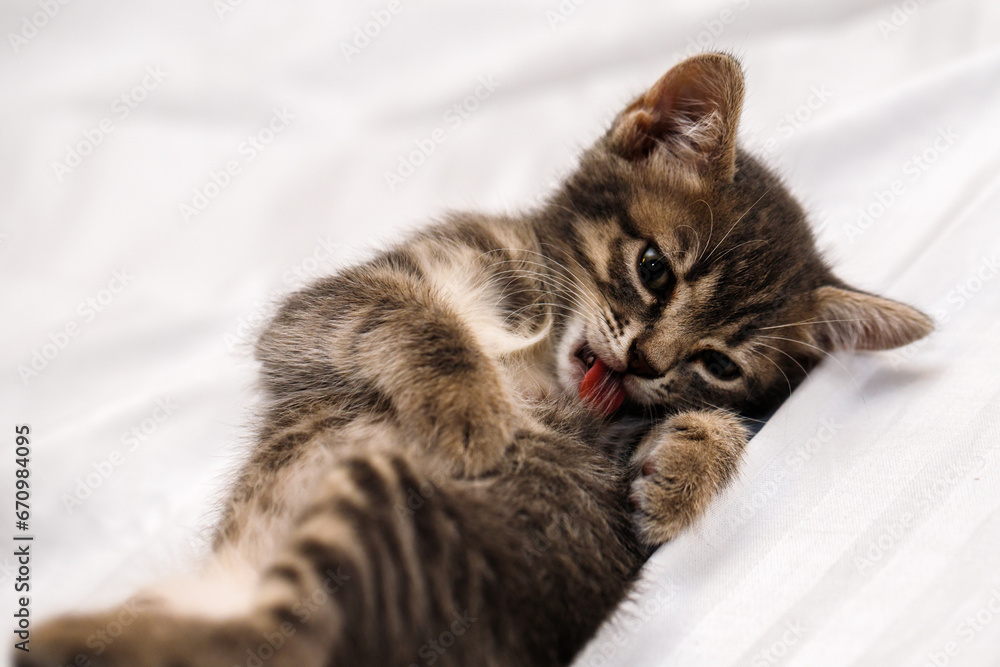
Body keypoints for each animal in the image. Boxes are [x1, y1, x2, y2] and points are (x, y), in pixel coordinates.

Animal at [23, 52, 928, 667]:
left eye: (720, 363)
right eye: (654, 269)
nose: (644, 361)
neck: (537, 354)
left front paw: (687, 463)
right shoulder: (317, 316)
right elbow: (413, 317)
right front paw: (470, 408)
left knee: (274, 640)